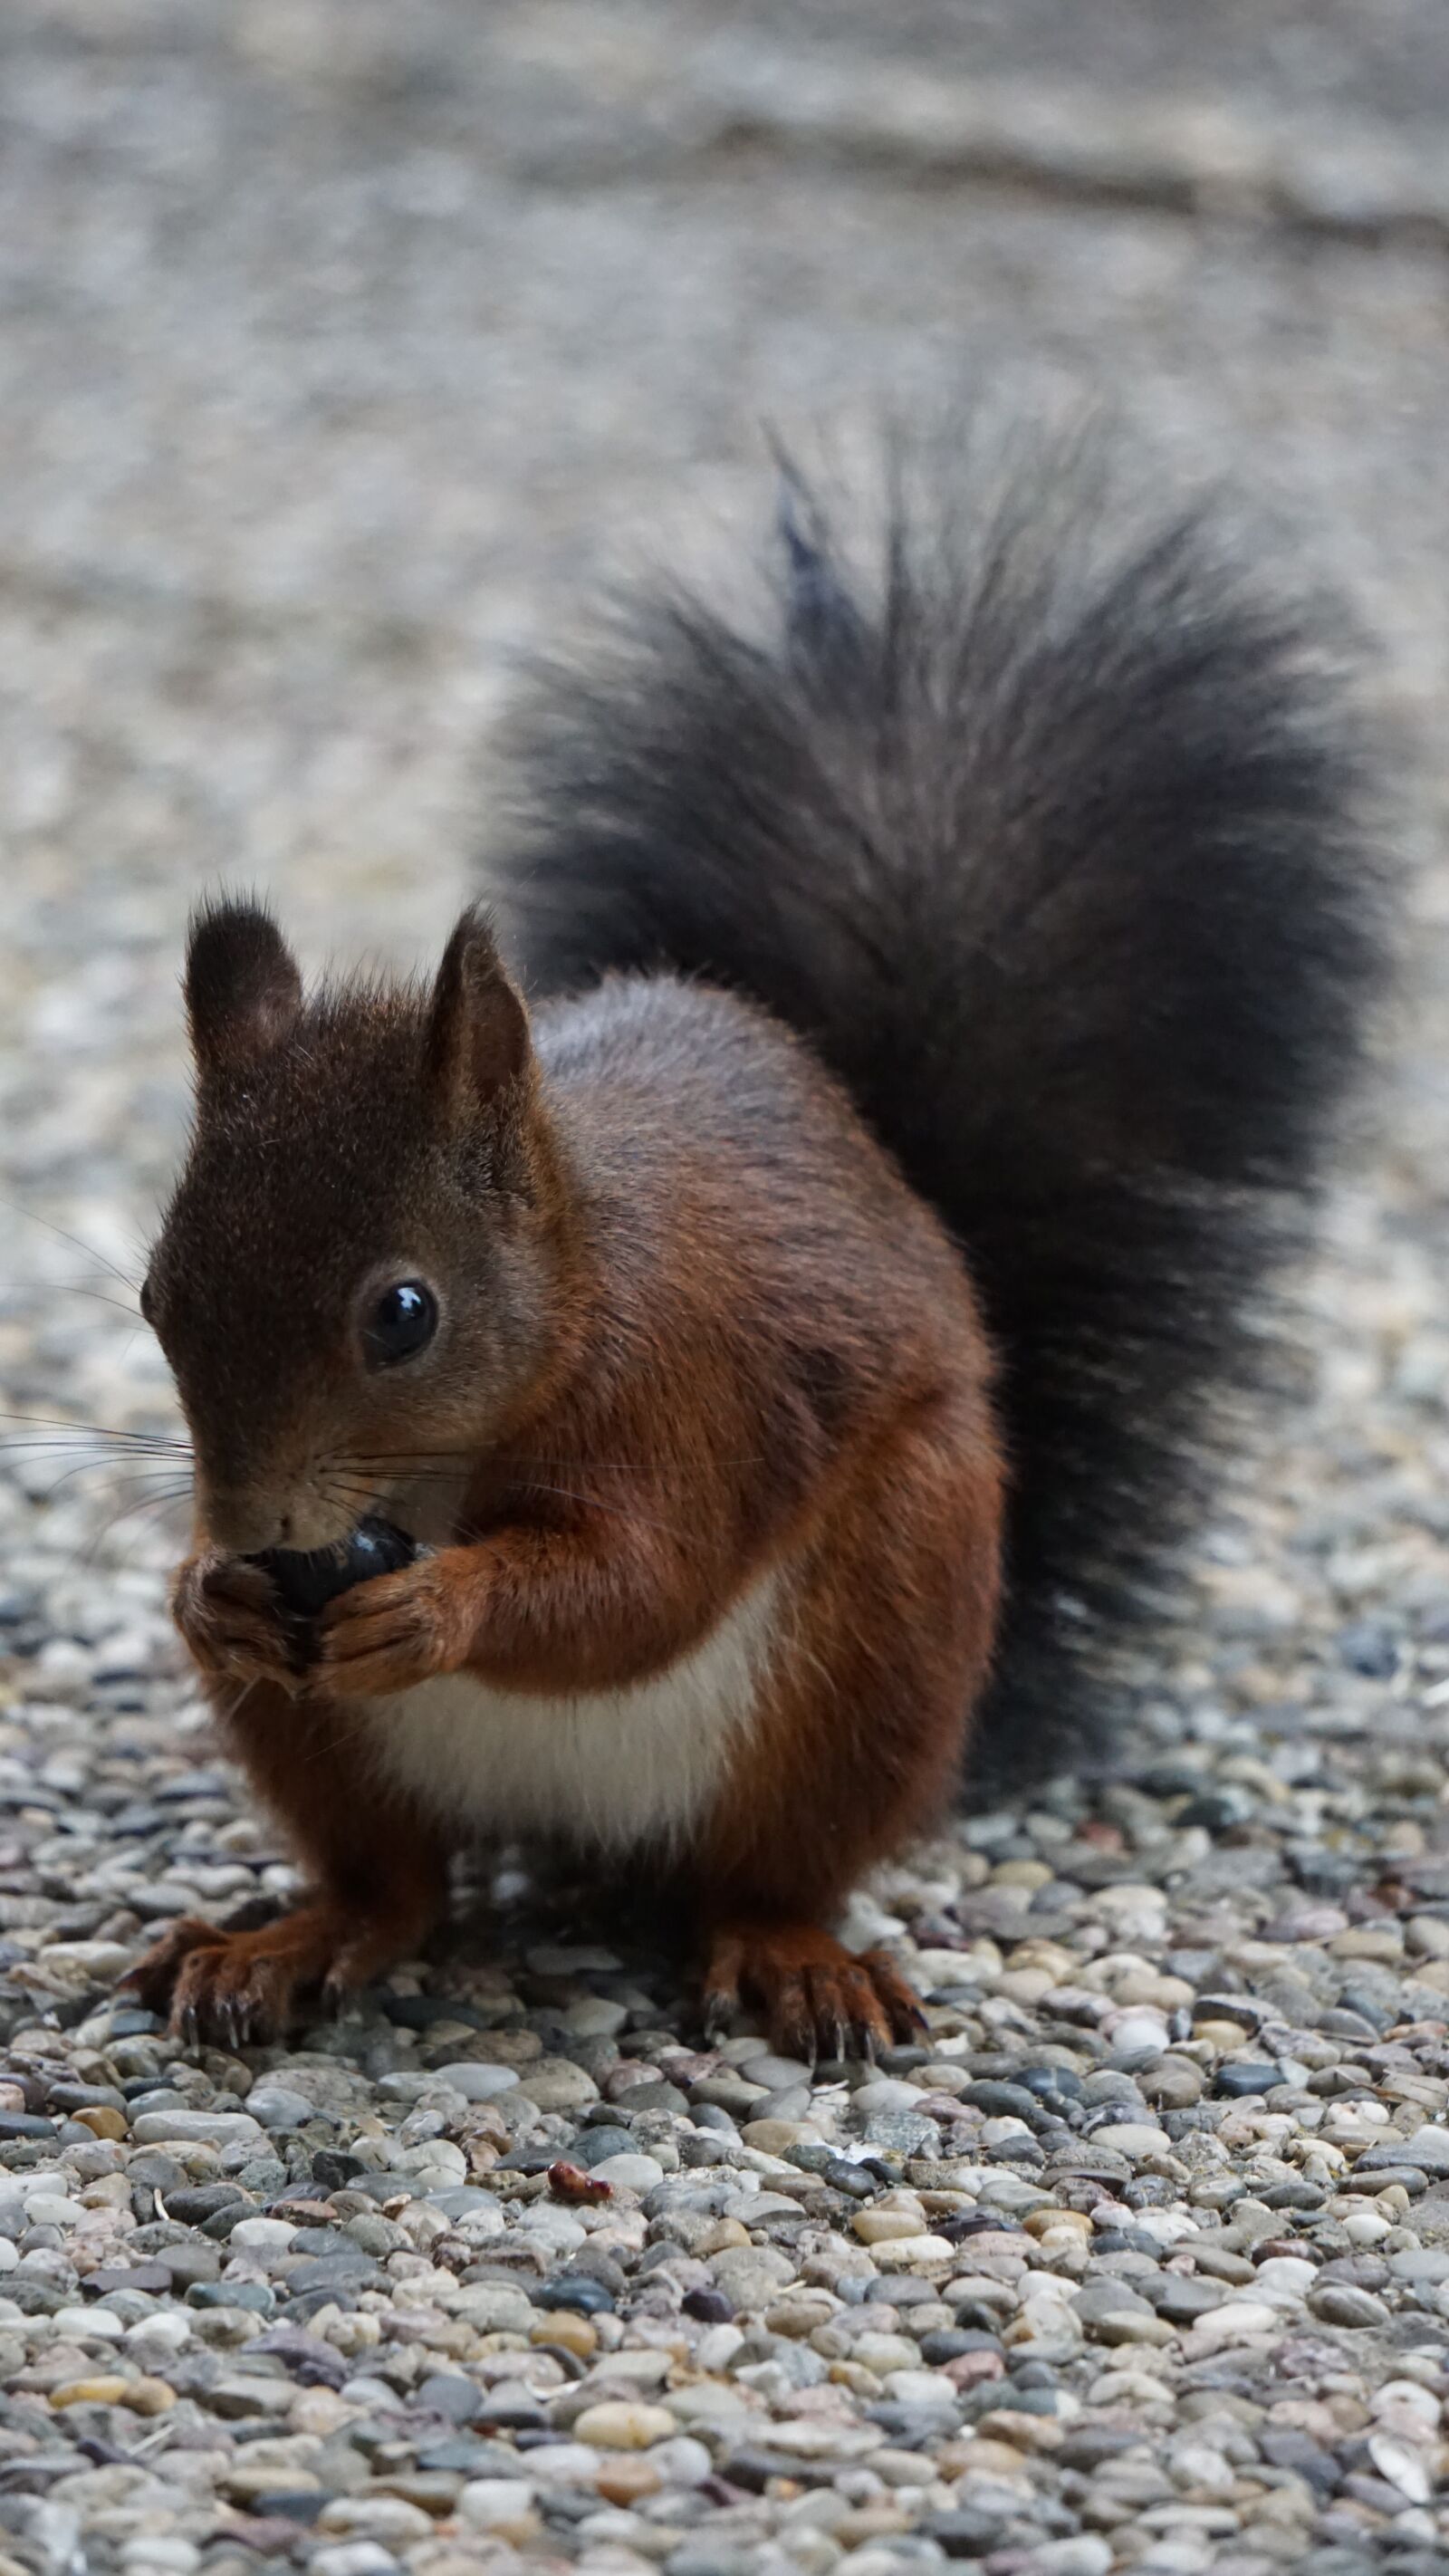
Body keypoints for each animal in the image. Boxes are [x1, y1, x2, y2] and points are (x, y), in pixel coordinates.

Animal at [121, 432, 1379, 2061]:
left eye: (402, 1311)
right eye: (156, 1295)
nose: (256, 1523)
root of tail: (577, 1834)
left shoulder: (692, 1387)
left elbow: (641, 1582)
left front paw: (443, 1602)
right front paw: (202, 1592)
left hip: (880, 1639)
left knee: (764, 1870)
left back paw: (795, 1958)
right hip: (321, 1741)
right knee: (398, 1886)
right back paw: (292, 1937)